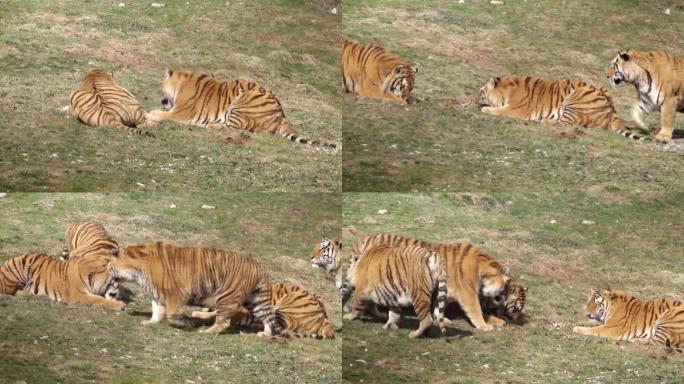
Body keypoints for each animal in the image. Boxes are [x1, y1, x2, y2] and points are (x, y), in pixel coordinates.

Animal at [108, 242, 284, 338]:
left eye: (110, 265)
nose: (107, 270)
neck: (138, 271)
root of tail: (259, 268)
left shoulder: (176, 294)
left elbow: (172, 315)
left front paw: (188, 324)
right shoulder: (157, 294)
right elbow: (157, 310)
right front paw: (151, 322)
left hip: (227, 297)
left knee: (224, 321)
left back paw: (207, 332)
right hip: (255, 301)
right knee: (267, 318)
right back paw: (265, 334)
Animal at [144, 68, 336, 148]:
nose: (162, 100)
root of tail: (282, 116)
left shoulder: (182, 112)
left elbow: (162, 114)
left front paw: (151, 113)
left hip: (242, 103)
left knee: (232, 126)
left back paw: (208, 124)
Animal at [350, 232, 510, 332]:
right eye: (502, 291)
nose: (501, 304)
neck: (481, 268)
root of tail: (366, 238)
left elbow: (438, 307)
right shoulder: (468, 293)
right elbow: (476, 310)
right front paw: (484, 326)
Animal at [478, 76, 644, 140]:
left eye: (481, 92)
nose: (475, 101)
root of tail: (613, 112)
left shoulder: (516, 109)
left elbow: (499, 110)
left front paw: (485, 109)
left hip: (575, 100)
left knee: (565, 122)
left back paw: (544, 120)